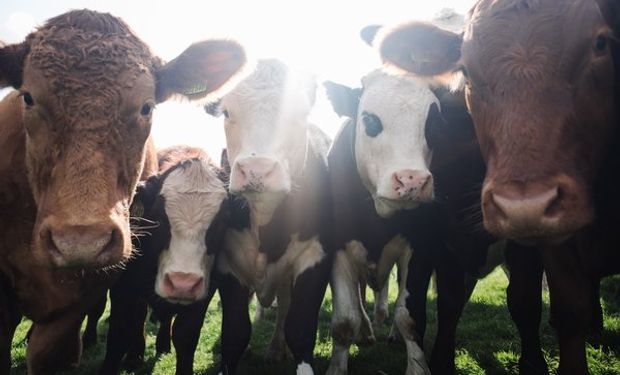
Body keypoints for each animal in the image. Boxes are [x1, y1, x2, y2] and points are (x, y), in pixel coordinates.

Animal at [100, 145, 231, 374]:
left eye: (222, 220)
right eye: (160, 216)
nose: (182, 283)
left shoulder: (204, 294)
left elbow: (186, 337)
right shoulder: (123, 288)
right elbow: (118, 336)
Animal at [206, 58, 334, 375]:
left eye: (300, 113)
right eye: (227, 112)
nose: (257, 170)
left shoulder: (316, 256)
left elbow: (299, 327)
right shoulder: (228, 264)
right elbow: (235, 333)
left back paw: (277, 348)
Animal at [324, 22, 494, 375]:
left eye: (434, 123)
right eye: (369, 120)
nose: (412, 180)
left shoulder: (421, 247)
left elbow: (410, 316)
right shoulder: (338, 246)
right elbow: (344, 321)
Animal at [376, 0, 620, 375]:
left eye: (600, 43)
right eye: (464, 67)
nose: (525, 205)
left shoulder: (527, 246)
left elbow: (524, 302)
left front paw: (533, 364)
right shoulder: (442, 237)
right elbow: (448, 301)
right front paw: (441, 360)